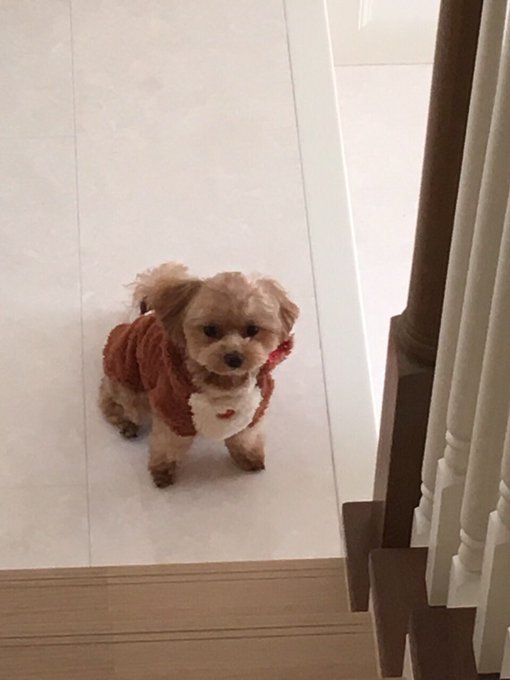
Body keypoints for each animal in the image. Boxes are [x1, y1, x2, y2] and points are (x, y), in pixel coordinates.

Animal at [100, 263, 299, 487]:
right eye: (210, 330)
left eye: (253, 329)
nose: (234, 358)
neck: (223, 384)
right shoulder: (172, 412)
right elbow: (167, 446)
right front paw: (162, 472)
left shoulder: (253, 410)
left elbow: (245, 439)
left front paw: (249, 458)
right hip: (129, 381)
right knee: (112, 399)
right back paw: (126, 422)